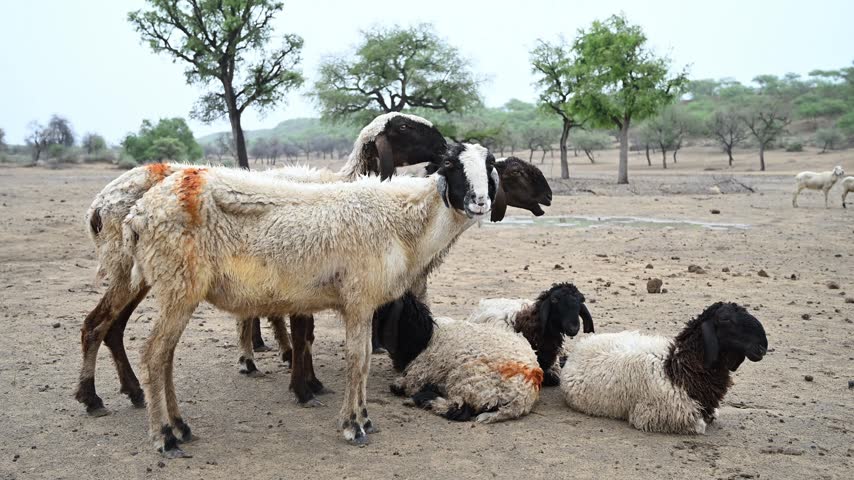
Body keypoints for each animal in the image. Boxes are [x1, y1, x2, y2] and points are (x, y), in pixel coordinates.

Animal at [74, 112, 447, 415]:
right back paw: (93, 398)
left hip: (141, 274)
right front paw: (304, 387)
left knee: (113, 327)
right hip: (131, 268)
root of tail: (98, 205)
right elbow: (304, 334)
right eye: (404, 127)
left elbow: (304, 331)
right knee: (97, 324)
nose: (445, 145)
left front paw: (308, 381)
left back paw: (133, 391)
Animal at [122, 142, 505, 455]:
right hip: (178, 285)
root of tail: (139, 213)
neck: (403, 222)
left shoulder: (365, 303)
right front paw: (353, 426)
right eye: (452, 165)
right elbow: (358, 360)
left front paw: (365, 419)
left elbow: (364, 360)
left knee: (166, 357)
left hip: (177, 290)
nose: (480, 202)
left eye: (489, 166)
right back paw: (164, 437)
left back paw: (180, 427)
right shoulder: (358, 298)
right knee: (154, 355)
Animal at [375, 292, 542, 423]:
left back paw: (428, 396)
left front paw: (400, 386)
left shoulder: (421, 372)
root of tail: (522, 397)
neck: (429, 335)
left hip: (466, 380)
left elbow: (405, 385)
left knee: (458, 409)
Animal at [560, 302, 767, 434]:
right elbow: (700, 426)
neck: (676, 368)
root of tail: (581, 346)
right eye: (726, 320)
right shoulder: (655, 415)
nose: (762, 347)